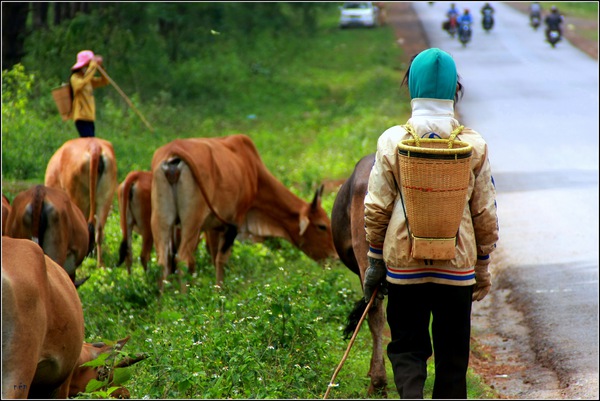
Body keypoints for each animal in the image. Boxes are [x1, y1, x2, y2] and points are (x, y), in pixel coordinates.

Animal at [150, 133, 338, 292]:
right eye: (322, 226)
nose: (335, 258)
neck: (252, 169)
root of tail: (174, 151)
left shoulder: (213, 227)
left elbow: (213, 257)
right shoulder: (235, 222)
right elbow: (221, 261)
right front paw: (221, 295)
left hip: (161, 220)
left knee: (162, 263)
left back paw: (163, 306)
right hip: (192, 223)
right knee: (182, 259)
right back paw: (183, 299)